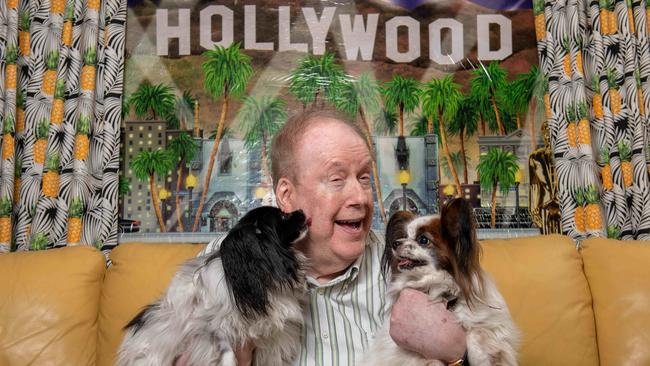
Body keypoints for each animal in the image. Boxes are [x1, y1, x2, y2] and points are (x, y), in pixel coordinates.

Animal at [362, 200, 520, 366]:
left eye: (423, 240)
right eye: (404, 236)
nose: (395, 243)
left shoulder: (494, 326)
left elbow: (479, 333)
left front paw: (480, 355)